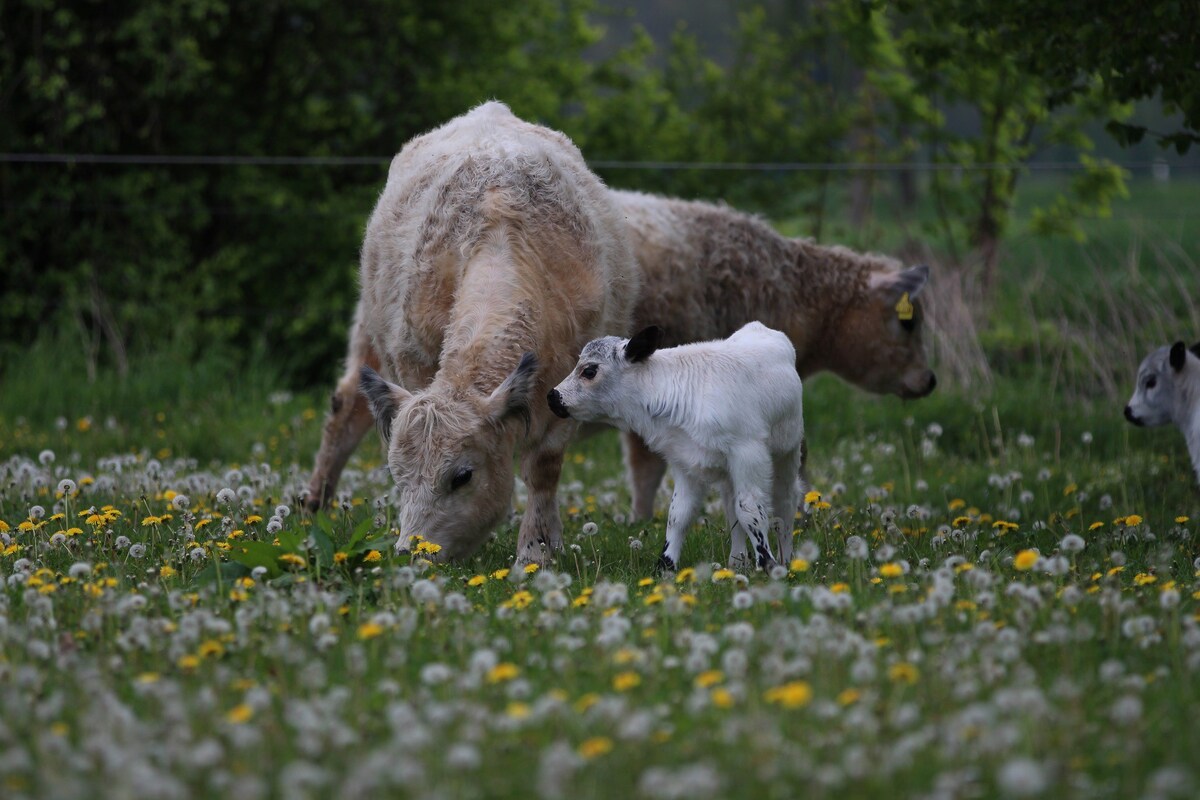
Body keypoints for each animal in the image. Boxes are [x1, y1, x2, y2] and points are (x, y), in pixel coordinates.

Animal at [319, 101, 638, 563]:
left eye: (462, 476)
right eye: (398, 475)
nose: (412, 551)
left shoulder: (569, 392)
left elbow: (543, 470)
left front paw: (536, 551)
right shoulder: (413, 368)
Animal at [549, 321, 811, 573]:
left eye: (589, 371)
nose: (553, 397)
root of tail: (763, 329)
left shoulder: (748, 454)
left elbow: (750, 510)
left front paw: (767, 564)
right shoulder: (684, 461)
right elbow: (679, 515)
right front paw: (665, 566)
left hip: (788, 451)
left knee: (786, 501)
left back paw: (786, 559)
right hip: (727, 473)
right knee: (730, 507)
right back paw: (737, 562)